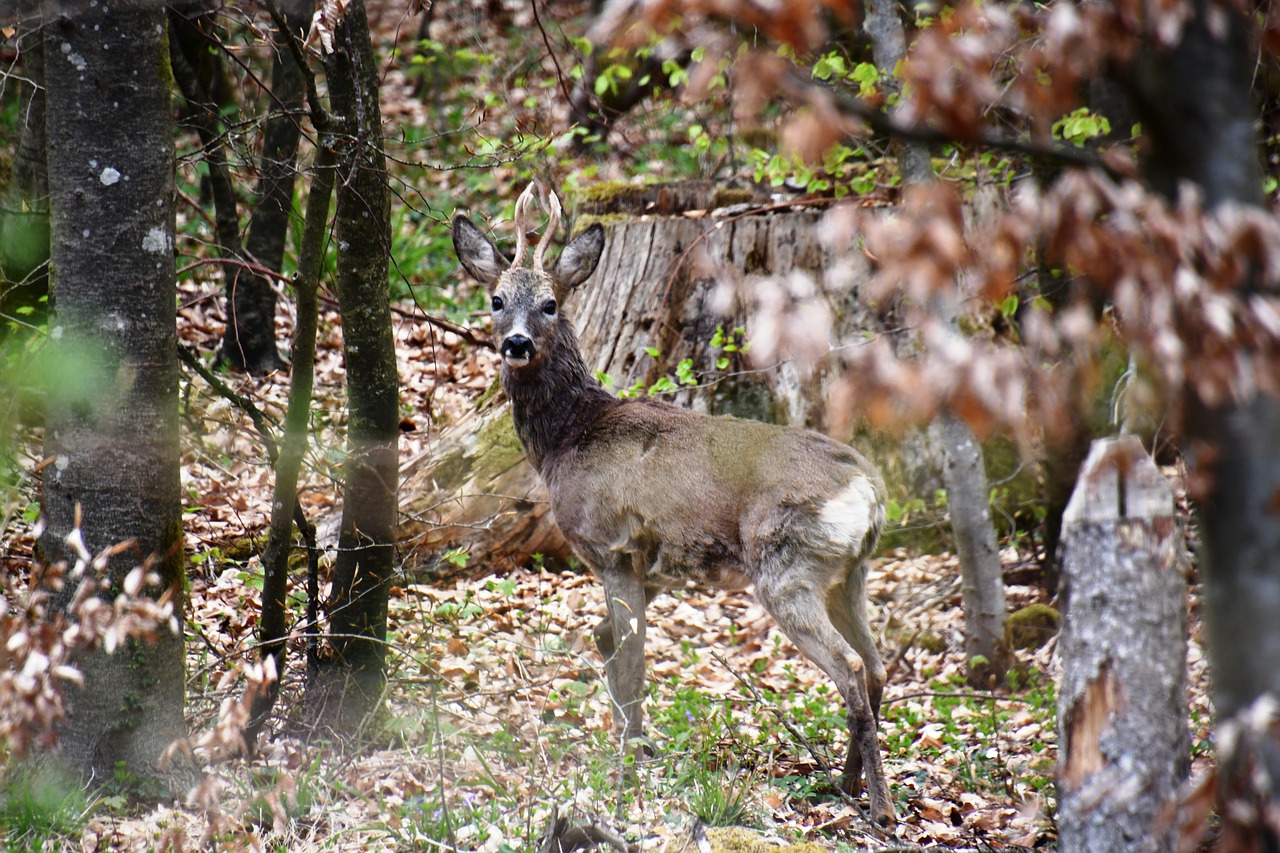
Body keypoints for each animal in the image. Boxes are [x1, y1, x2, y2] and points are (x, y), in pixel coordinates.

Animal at [455, 180, 896, 824]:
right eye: (495, 299)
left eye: (551, 304)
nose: (515, 343)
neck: (568, 437)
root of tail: (867, 486)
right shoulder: (652, 567)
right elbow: (607, 644)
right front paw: (634, 745)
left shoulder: (613, 547)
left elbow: (632, 662)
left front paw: (630, 763)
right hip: (849, 574)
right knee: (878, 665)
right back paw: (845, 784)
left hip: (787, 565)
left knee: (853, 667)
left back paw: (879, 808)